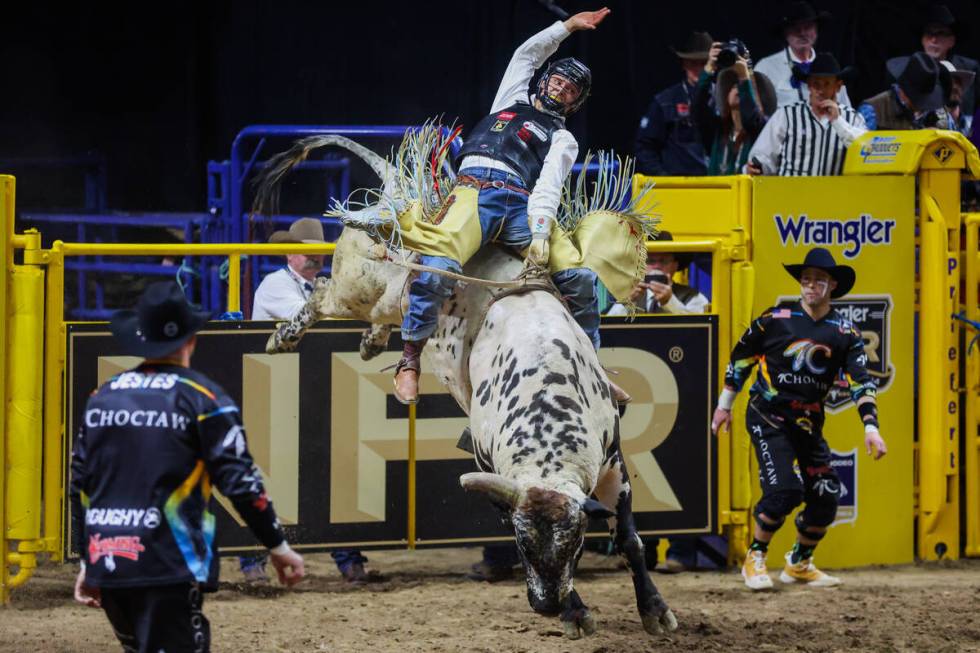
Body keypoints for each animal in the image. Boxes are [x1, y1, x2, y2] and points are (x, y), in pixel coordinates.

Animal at [256, 131, 676, 636]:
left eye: (575, 543)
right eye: (522, 542)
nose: (547, 605)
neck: (545, 395)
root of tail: (394, 195)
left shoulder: (613, 462)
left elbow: (631, 539)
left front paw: (655, 609)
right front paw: (577, 612)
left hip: (380, 302)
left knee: (380, 317)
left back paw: (370, 343)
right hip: (358, 287)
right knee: (321, 292)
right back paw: (285, 336)